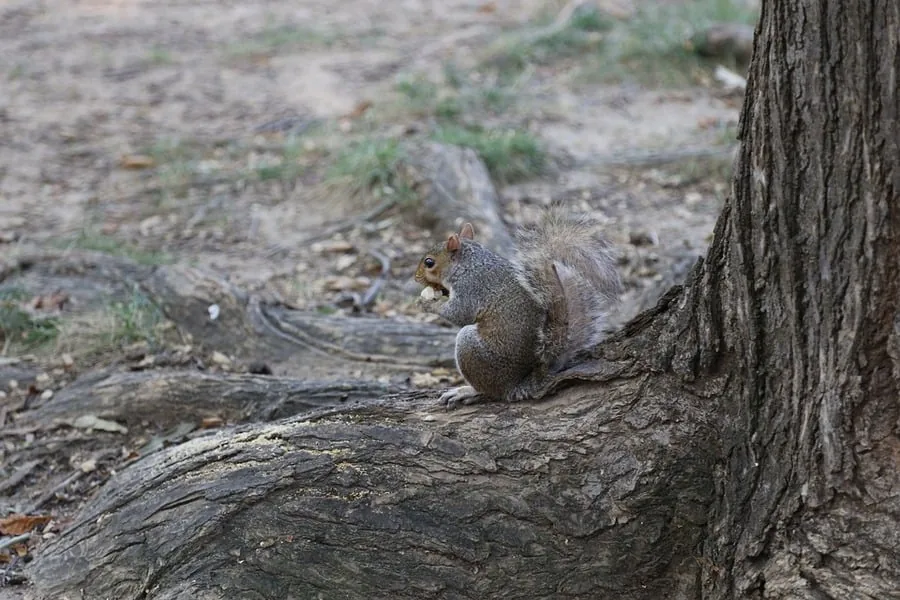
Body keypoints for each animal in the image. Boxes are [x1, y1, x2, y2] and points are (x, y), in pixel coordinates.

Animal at [415, 211, 621, 407]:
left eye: (429, 262)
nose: (416, 277)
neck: (468, 263)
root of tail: (516, 384)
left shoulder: (472, 287)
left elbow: (460, 313)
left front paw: (427, 303)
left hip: (472, 348)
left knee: (492, 391)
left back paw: (467, 391)